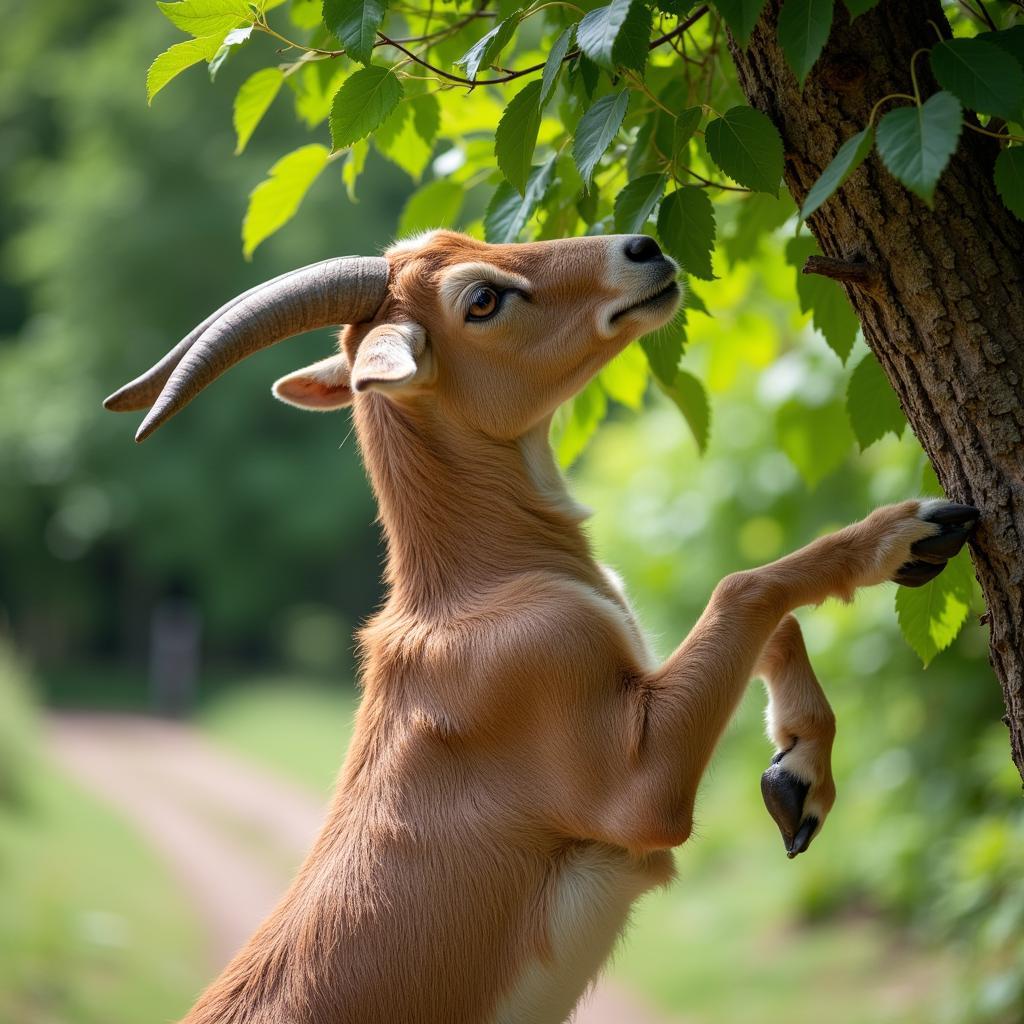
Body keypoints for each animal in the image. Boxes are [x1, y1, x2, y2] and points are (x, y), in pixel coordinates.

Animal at [108, 232, 978, 1024]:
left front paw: (797, 778)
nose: (644, 245)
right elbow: (744, 586)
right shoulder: (641, 790)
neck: (477, 592)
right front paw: (910, 532)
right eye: (481, 299)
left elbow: (770, 621)